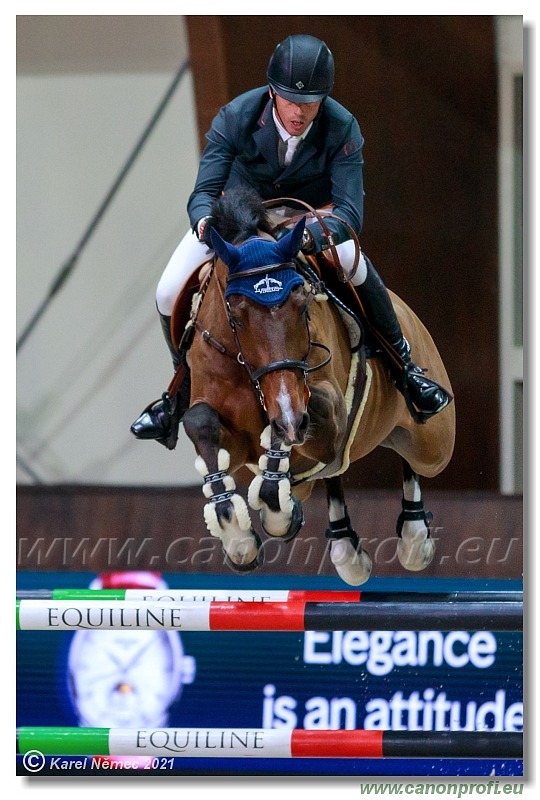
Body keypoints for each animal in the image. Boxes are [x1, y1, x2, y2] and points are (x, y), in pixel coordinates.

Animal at [178, 188, 456, 588]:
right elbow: (201, 422)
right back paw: (346, 547)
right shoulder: (236, 438)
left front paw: (277, 512)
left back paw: (414, 537)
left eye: (302, 303)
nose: (290, 419)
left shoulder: (320, 416)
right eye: (235, 312)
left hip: (433, 445)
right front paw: (236, 537)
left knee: (411, 460)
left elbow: (299, 420)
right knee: (333, 475)